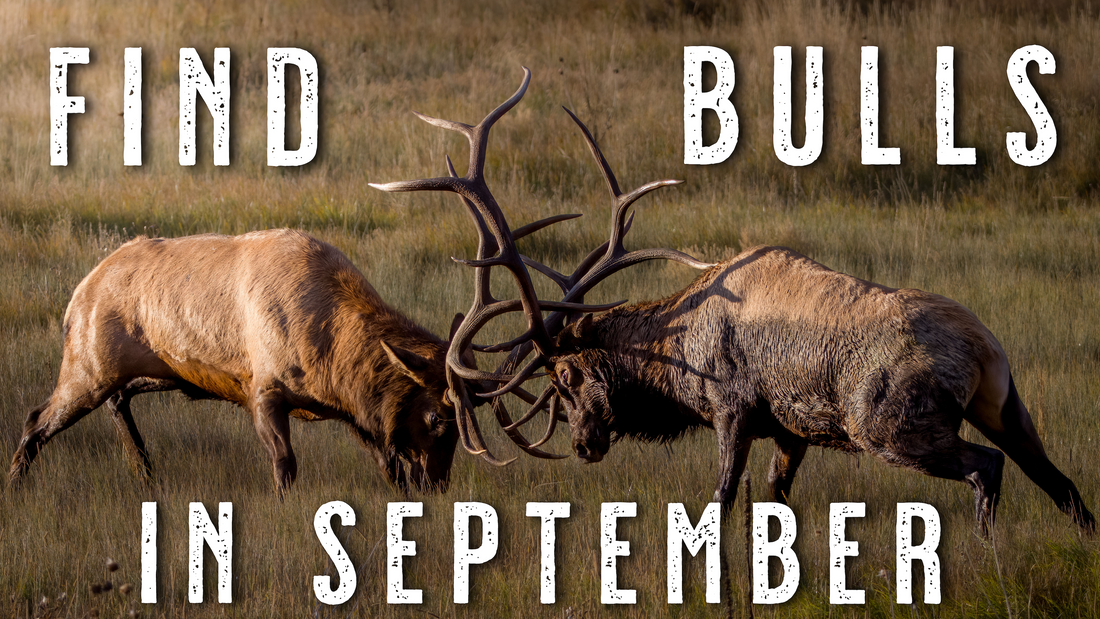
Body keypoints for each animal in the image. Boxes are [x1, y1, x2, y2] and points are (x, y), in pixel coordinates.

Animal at [6, 228, 519, 496]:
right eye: (434, 416)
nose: (437, 483)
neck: (331, 355)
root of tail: (77, 295)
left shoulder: (351, 410)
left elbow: (387, 465)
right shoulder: (263, 390)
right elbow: (284, 465)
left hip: (156, 372)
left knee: (118, 402)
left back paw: (146, 474)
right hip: (88, 366)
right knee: (35, 419)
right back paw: (14, 487)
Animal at [371, 67, 1095, 535]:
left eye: (569, 376)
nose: (582, 444)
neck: (676, 351)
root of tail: (985, 349)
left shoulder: (733, 406)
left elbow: (719, 499)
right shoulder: (793, 430)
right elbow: (773, 500)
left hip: (891, 424)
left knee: (988, 468)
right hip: (1007, 407)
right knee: (1063, 486)